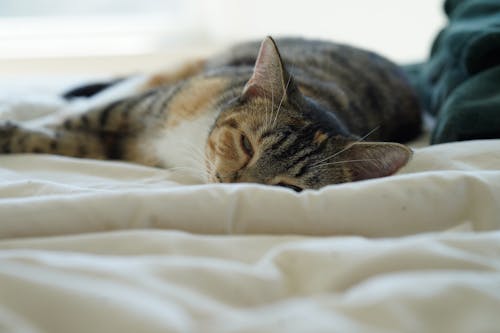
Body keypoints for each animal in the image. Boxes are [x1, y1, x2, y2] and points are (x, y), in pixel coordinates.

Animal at [0, 36, 422, 189]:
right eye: (246, 144)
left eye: (289, 187)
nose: (232, 183)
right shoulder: (140, 107)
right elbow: (80, 117)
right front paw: (12, 126)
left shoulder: (116, 146)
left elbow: (64, 141)